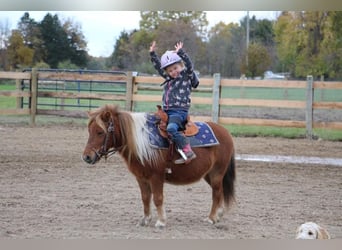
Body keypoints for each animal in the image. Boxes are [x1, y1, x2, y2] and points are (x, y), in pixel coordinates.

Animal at [83, 104, 235, 228]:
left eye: (100, 132)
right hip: (208, 175)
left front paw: (161, 221)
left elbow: (157, 198)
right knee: (220, 192)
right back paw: (218, 215)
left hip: (217, 173)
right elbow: (145, 197)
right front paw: (145, 220)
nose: (87, 157)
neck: (142, 141)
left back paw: (211, 218)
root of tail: (225, 132)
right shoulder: (141, 177)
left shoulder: (156, 176)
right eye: (89, 131)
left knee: (216, 193)